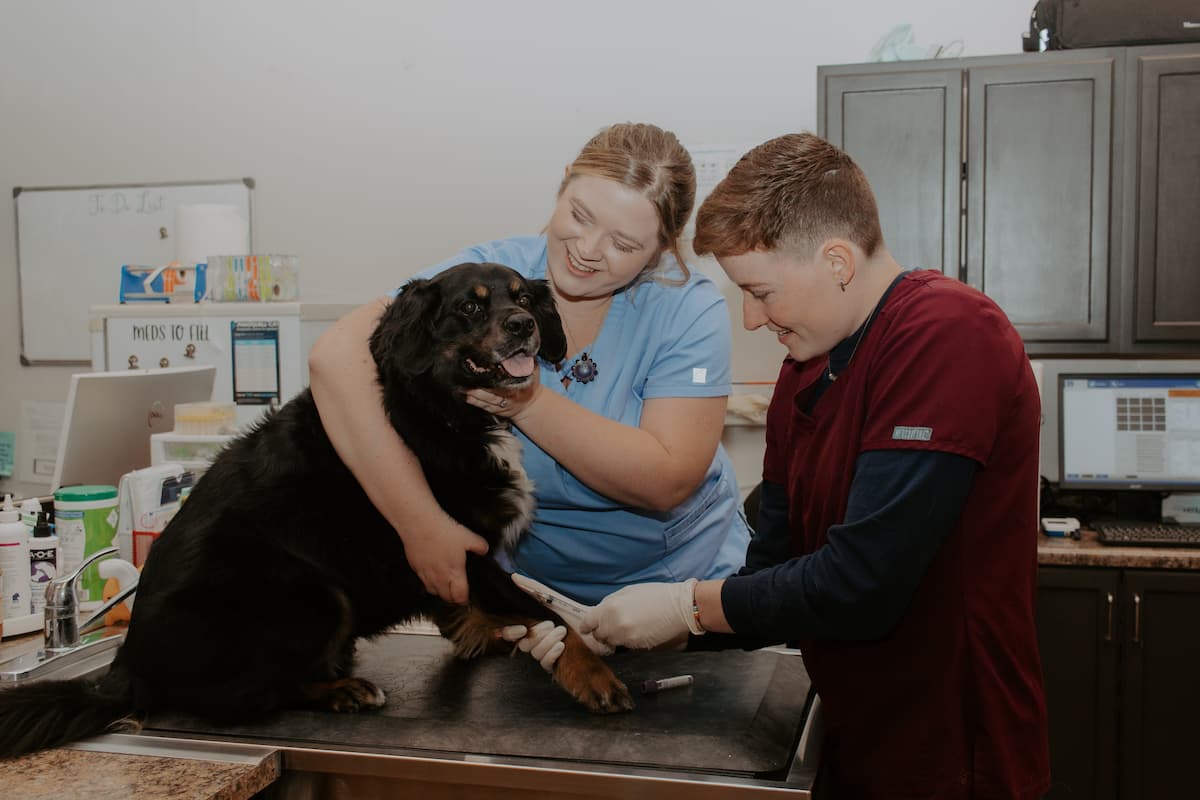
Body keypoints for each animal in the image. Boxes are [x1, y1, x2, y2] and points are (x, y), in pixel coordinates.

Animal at [0, 261, 638, 758]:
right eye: (469, 307)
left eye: (524, 297)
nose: (523, 325)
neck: (441, 410)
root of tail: (128, 663)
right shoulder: (462, 548)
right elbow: (549, 615)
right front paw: (592, 675)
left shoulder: (454, 559)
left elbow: (482, 608)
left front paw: (490, 634)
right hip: (315, 594)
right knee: (246, 696)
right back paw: (339, 691)